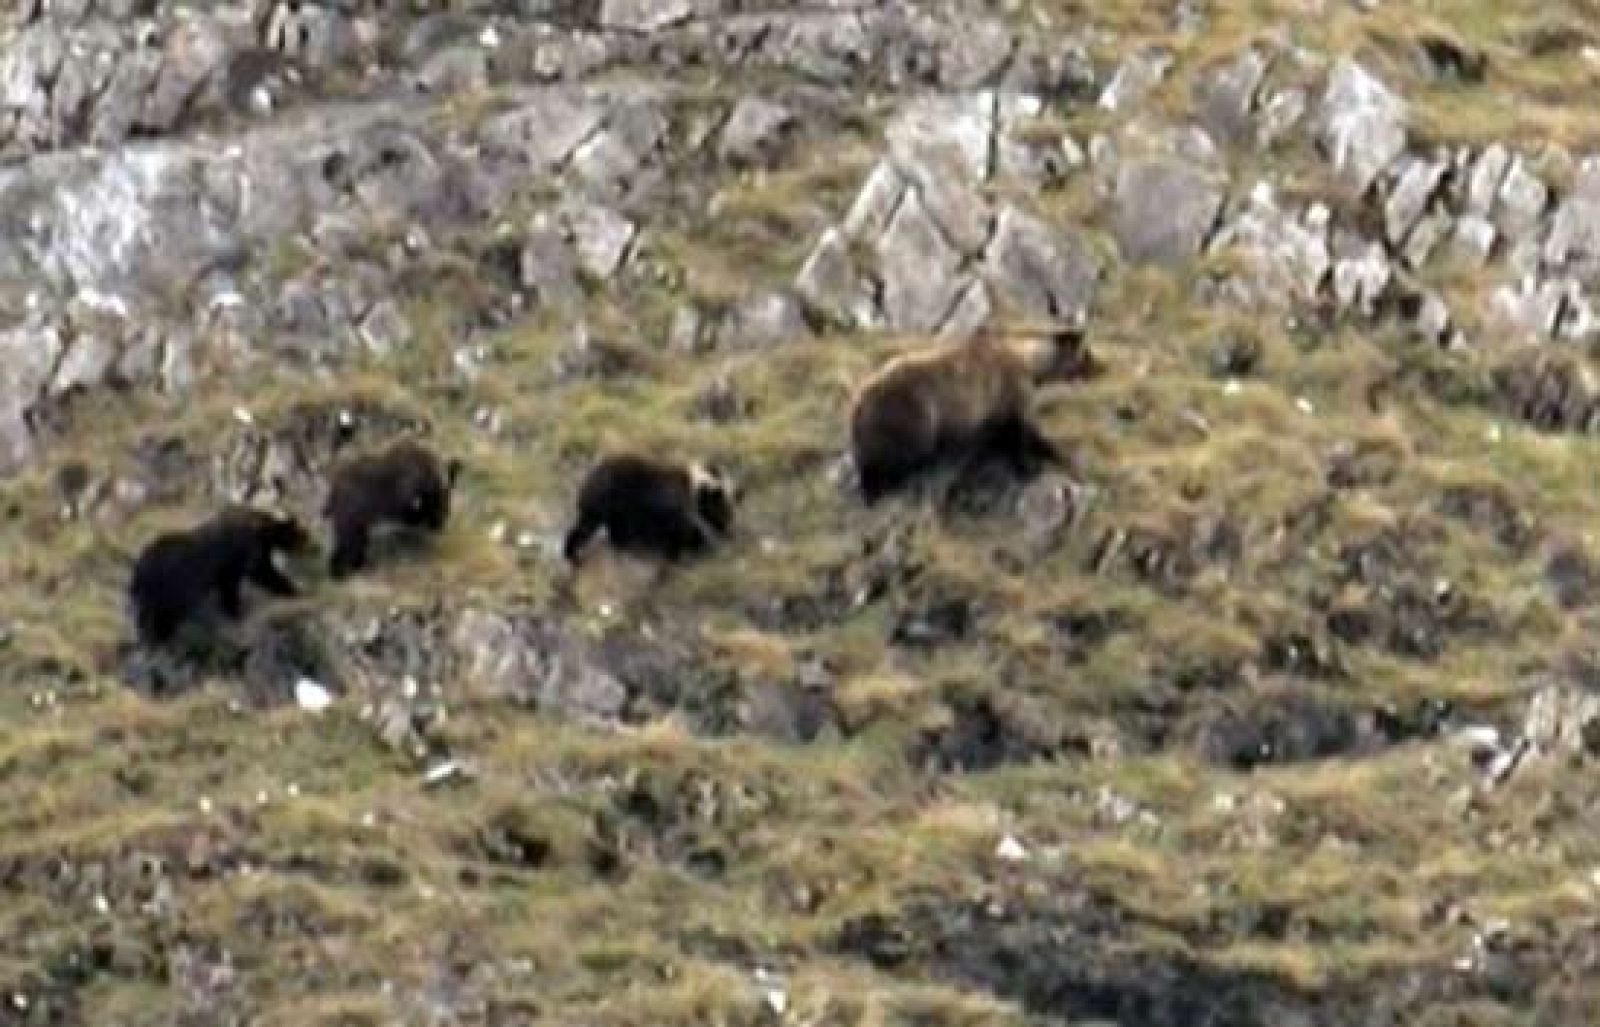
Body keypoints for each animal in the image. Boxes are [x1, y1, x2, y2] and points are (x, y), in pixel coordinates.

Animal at [129, 505, 311, 646]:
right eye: (304, 535)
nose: (312, 546)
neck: (263, 529)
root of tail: (141, 568)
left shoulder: (257, 551)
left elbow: (264, 572)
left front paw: (293, 590)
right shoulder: (240, 549)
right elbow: (238, 579)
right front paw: (236, 611)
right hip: (174, 585)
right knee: (166, 615)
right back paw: (161, 637)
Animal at [323, 438, 461, 578]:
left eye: (446, 500)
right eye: (440, 502)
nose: (439, 525)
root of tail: (333, 492)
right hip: (351, 521)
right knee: (349, 545)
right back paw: (344, 569)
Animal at [563, 453, 737, 565]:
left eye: (725, 505)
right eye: (721, 503)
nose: (728, 525)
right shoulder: (666, 509)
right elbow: (675, 533)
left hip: (608, 507)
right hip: (608, 502)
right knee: (591, 526)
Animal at [847, 323, 1102, 504]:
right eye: (1087, 353)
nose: (1102, 367)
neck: (1031, 364)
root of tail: (858, 402)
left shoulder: (993, 408)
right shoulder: (1009, 390)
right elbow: (1021, 431)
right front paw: (1031, 465)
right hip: (911, 413)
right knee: (903, 454)